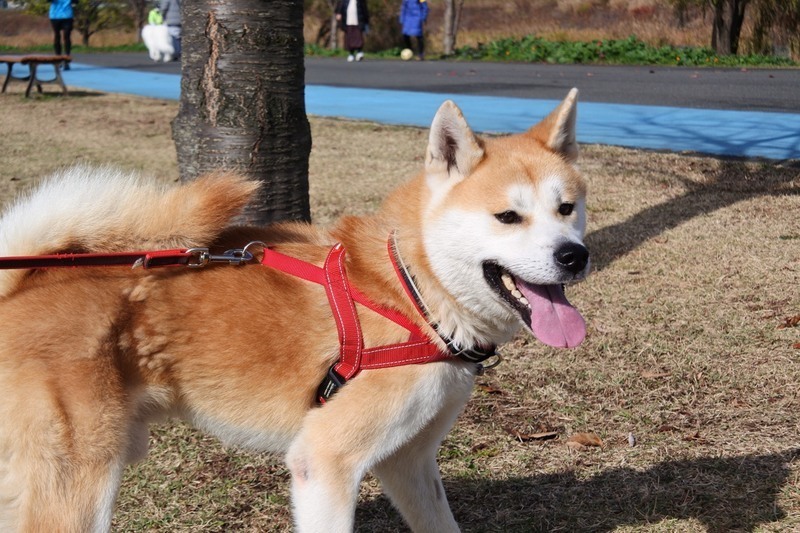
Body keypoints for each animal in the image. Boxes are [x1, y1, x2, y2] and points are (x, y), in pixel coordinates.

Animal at [0, 90, 589, 532]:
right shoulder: (324, 463)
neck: (413, 291)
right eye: (507, 216)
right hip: (82, 477)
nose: (574, 255)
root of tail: (18, 284)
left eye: (567, 208)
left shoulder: (409, 462)